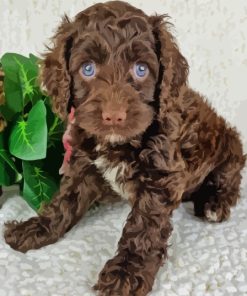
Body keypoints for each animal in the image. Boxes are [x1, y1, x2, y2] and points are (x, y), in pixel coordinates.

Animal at [3, 1, 245, 294]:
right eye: (87, 69)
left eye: (141, 69)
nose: (114, 116)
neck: (118, 143)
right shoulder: (83, 164)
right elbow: (63, 202)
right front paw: (36, 228)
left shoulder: (160, 178)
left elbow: (143, 228)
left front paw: (126, 272)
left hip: (229, 149)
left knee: (231, 177)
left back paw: (215, 203)